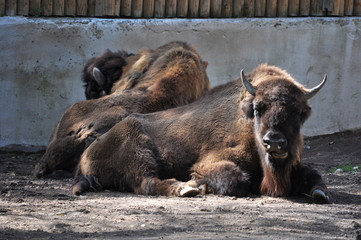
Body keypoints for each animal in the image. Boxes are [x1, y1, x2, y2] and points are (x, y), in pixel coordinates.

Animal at [73, 64, 332, 204]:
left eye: (298, 111)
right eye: (259, 108)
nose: (274, 142)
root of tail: (85, 156)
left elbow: (314, 176)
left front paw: (321, 193)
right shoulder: (208, 163)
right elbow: (236, 179)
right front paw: (202, 185)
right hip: (138, 154)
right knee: (147, 183)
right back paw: (186, 189)